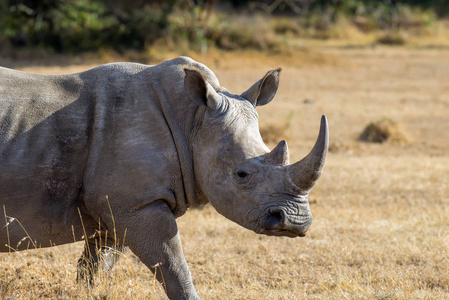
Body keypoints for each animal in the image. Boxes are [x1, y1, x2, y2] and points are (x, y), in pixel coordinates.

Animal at [0, 57, 328, 298]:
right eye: (242, 174)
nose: (296, 222)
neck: (192, 121)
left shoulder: (116, 207)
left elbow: (94, 269)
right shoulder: (138, 203)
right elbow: (174, 268)